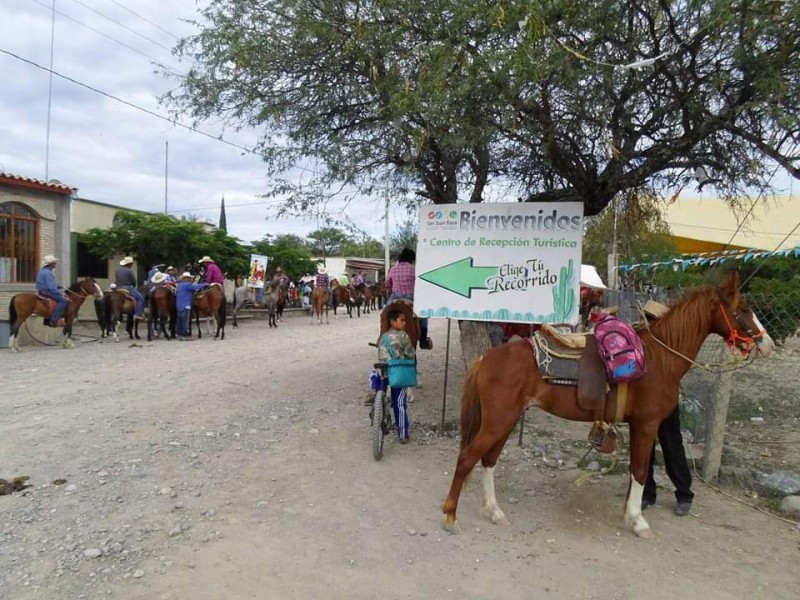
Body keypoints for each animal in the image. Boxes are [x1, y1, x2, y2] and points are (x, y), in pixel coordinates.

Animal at [440, 274, 780, 540]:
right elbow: (640, 471)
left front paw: (631, 512)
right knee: (468, 457)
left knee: (488, 460)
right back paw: (450, 516)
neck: (659, 358)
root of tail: (485, 359)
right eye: (743, 310)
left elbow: (636, 470)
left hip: (506, 420)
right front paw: (638, 522)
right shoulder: (646, 424)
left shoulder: (643, 425)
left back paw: (493, 511)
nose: (767, 344)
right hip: (499, 420)